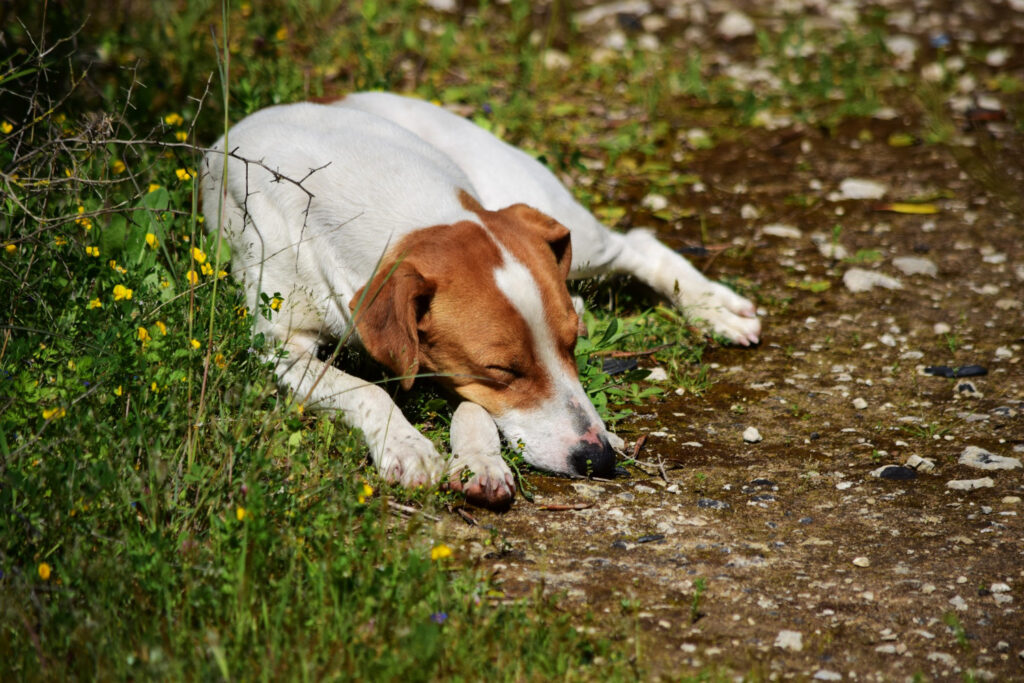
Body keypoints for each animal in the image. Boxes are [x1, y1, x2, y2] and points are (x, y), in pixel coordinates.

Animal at [201, 92, 761, 507]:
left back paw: (715, 307)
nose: (598, 460)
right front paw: (407, 446)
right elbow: (365, 390)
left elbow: (474, 412)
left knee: (638, 243)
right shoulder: (278, 347)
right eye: (503, 371)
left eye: (572, 347)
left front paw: (479, 460)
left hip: (568, 230)